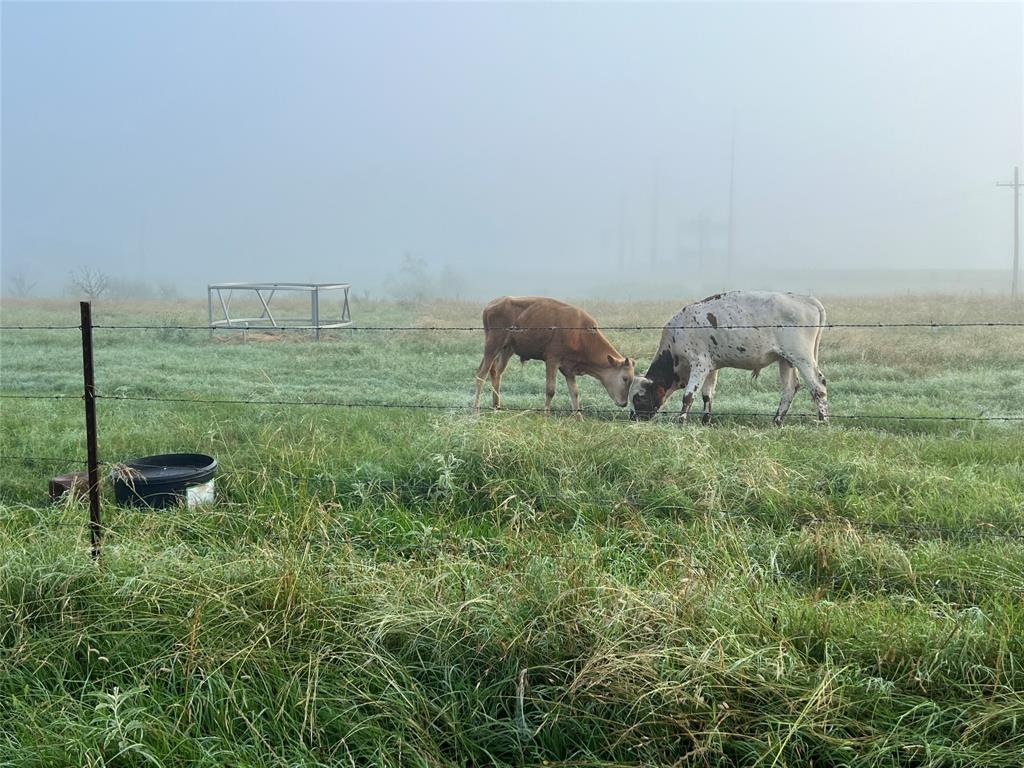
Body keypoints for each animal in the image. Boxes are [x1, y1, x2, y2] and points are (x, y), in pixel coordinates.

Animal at [475, 296, 634, 415]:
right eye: (625, 378)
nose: (624, 403)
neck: (580, 333)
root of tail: (491, 305)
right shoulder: (552, 360)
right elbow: (550, 390)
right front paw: (546, 414)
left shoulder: (568, 369)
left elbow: (574, 392)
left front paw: (578, 417)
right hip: (492, 345)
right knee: (481, 374)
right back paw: (476, 410)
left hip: (506, 350)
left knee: (497, 374)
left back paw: (496, 407)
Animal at [622, 292, 831, 428]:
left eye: (639, 398)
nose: (634, 418)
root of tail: (807, 299)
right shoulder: (711, 367)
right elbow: (707, 395)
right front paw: (705, 421)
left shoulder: (699, 364)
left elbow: (688, 395)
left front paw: (681, 420)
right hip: (785, 359)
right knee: (790, 388)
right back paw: (777, 421)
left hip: (801, 357)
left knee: (818, 385)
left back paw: (823, 421)